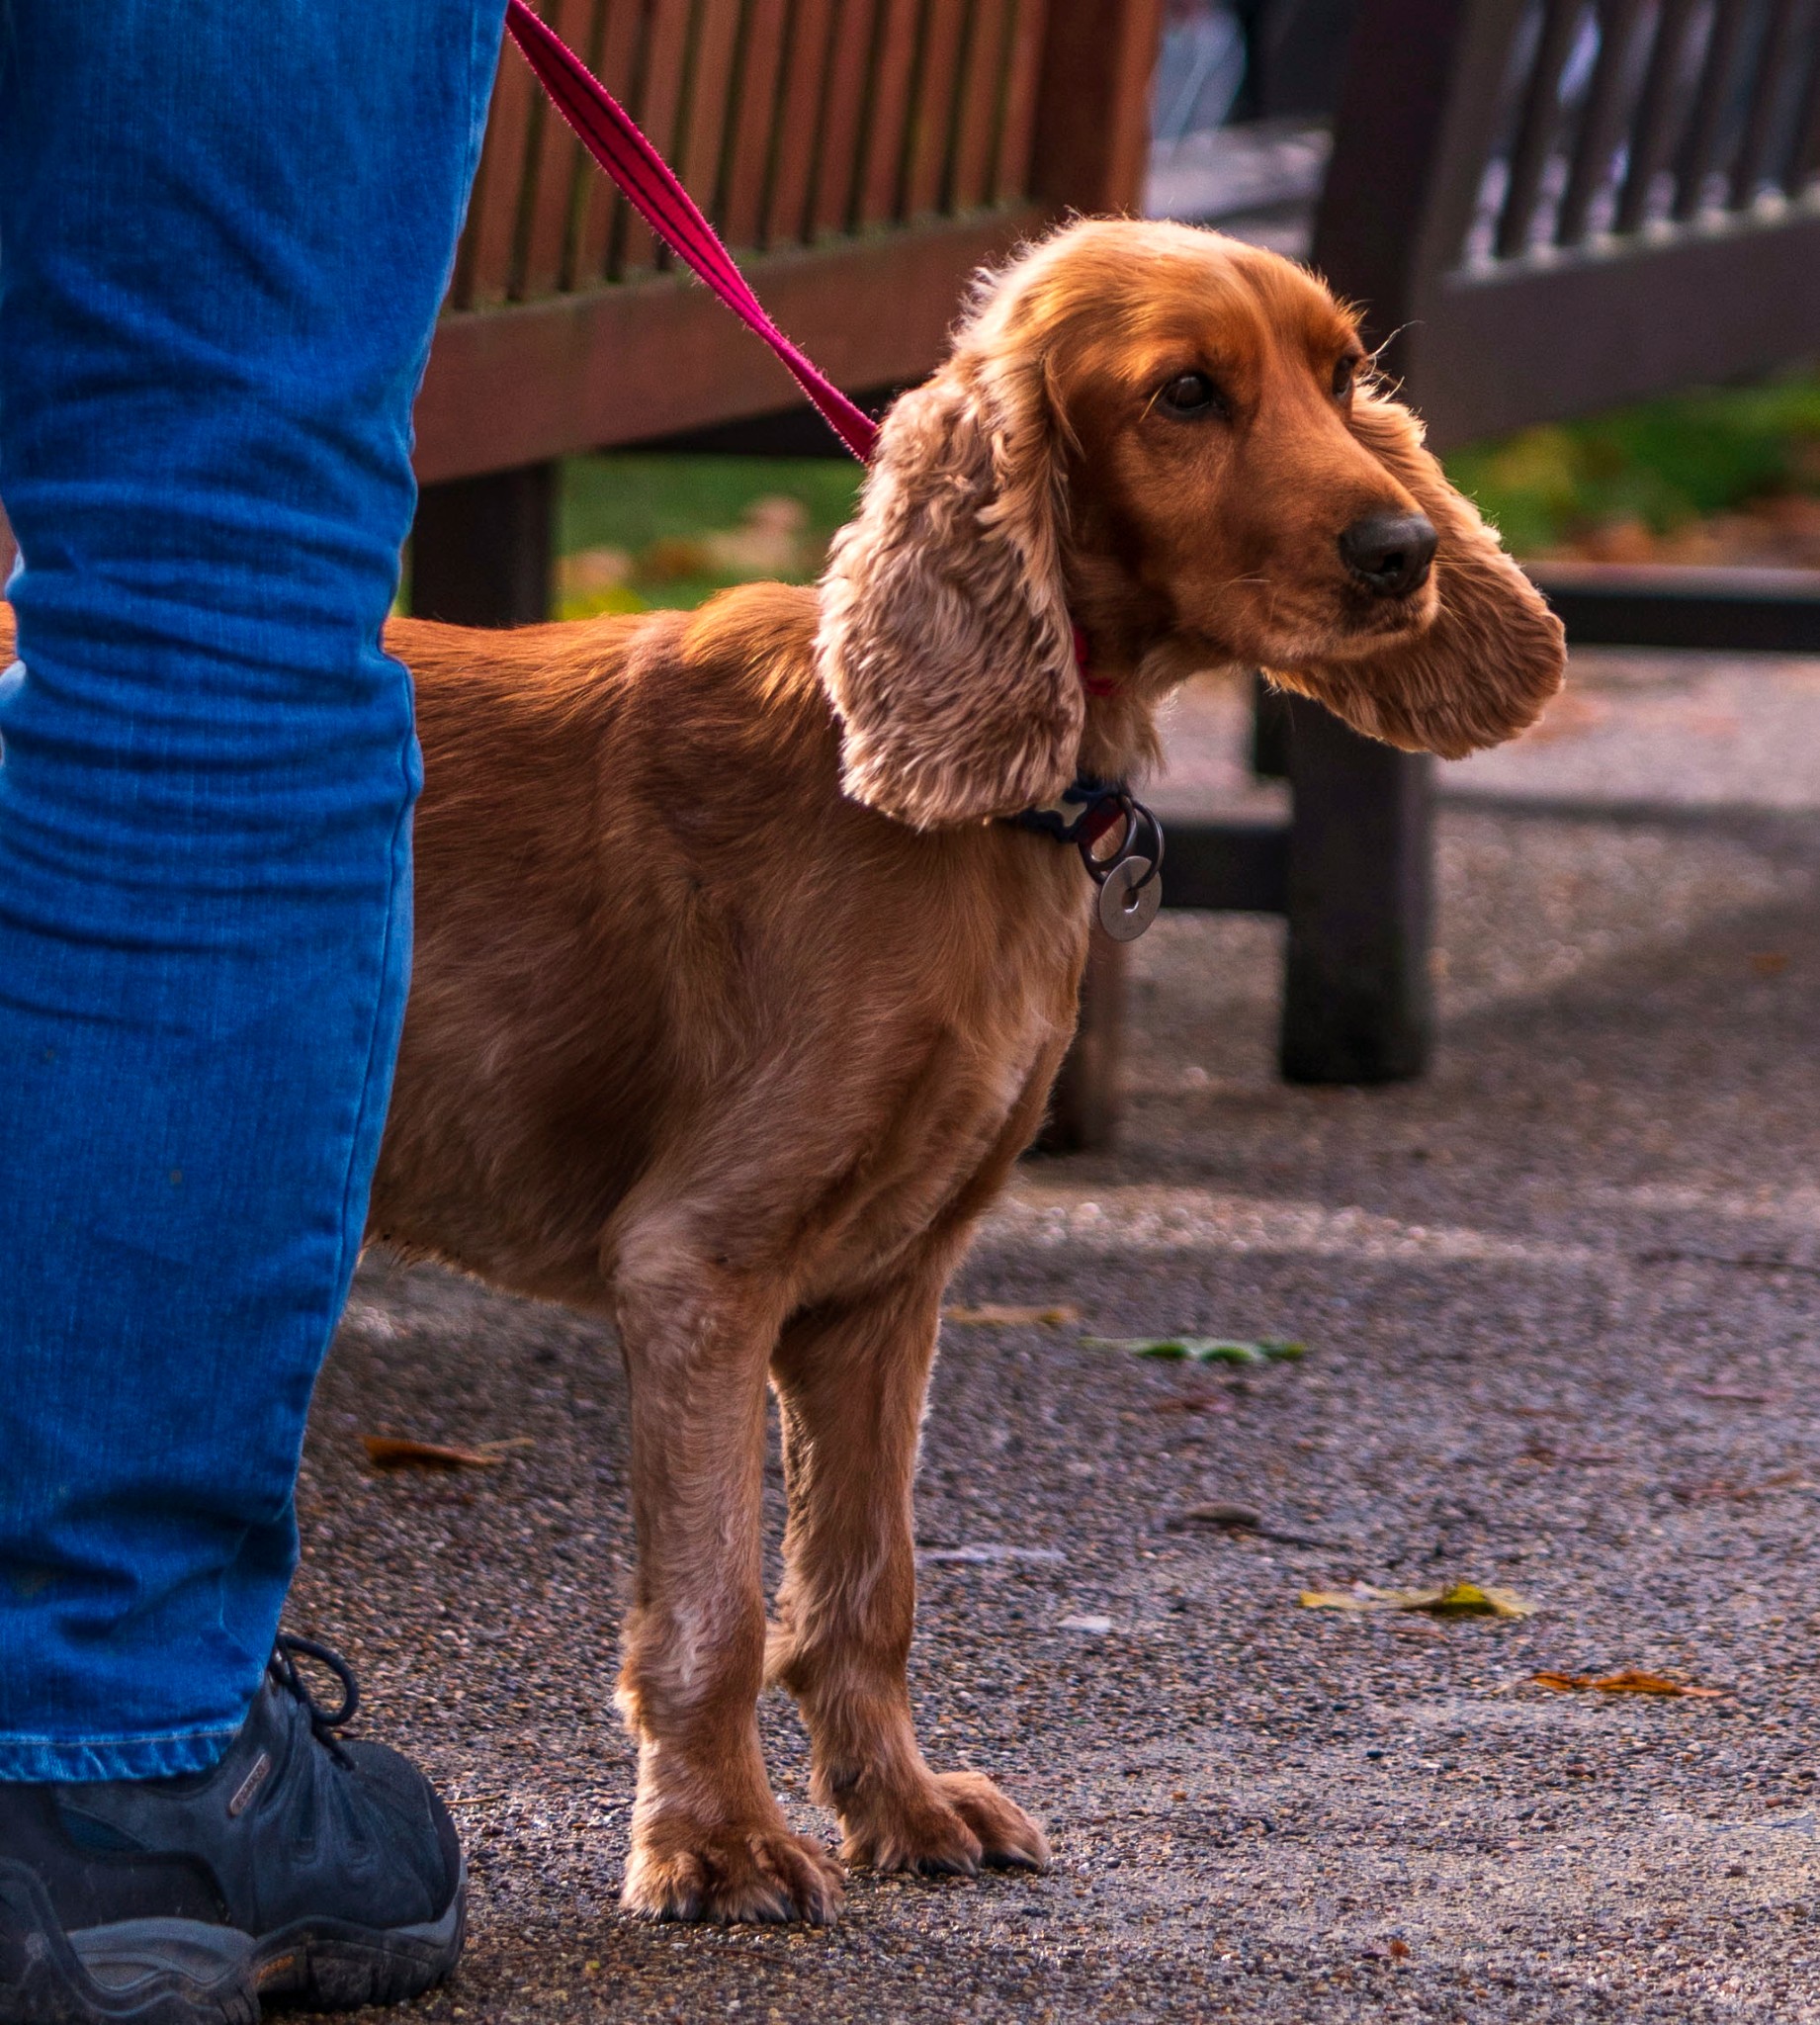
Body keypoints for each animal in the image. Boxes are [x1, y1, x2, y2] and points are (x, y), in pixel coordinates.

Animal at [0, 218, 1562, 1927]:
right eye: (1186, 395)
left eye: (1341, 376)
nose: (1403, 551)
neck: (969, 807)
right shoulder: (702, 1263)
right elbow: (718, 1610)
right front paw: (718, 1843)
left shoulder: (884, 1287)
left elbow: (866, 1590)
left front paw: (898, 1808)